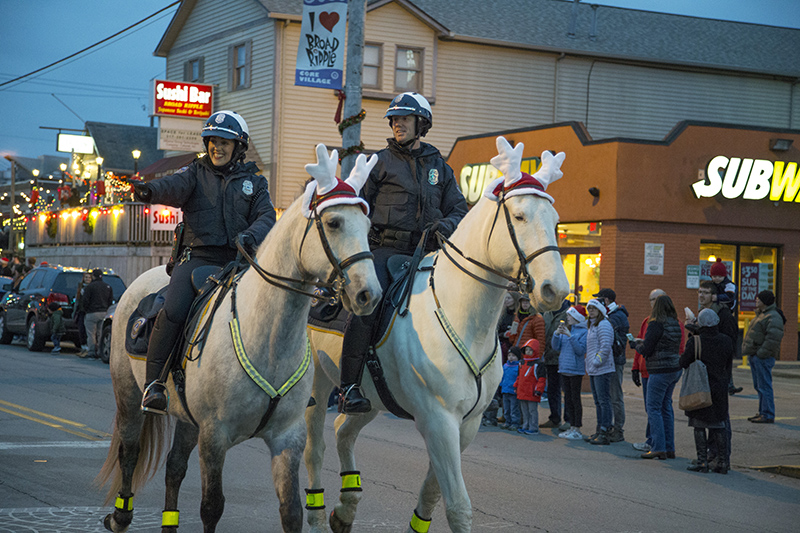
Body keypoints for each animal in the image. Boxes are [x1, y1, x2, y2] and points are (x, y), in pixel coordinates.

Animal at [97, 147, 384, 532]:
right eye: (334, 223)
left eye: (368, 227)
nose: (369, 294)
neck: (269, 338)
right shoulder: (215, 436)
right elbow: (211, 507)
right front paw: (142, 189)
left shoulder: (287, 438)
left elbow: (292, 511)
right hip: (128, 394)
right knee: (130, 452)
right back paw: (121, 515)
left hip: (187, 419)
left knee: (174, 467)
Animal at [304, 137, 572, 532]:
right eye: (520, 216)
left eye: (555, 221)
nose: (556, 290)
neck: (464, 318)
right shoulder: (438, 418)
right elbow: (458, 504)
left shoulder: (465, 424)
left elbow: (434, 492)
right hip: (318, 385)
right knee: (313, 446)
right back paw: (318, 513)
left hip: (372, 397)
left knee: (342, 429)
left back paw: (346, 508)